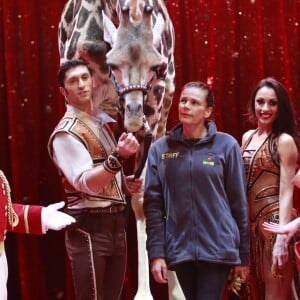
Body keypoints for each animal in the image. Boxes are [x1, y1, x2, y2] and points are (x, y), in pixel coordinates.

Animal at [57, 1, 184, 298]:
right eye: (113, 63)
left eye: (156, 66)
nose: (135, 119)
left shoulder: (155, 103)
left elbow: (143, 198)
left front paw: (145, 292)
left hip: (167, 104)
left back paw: (176, 288)